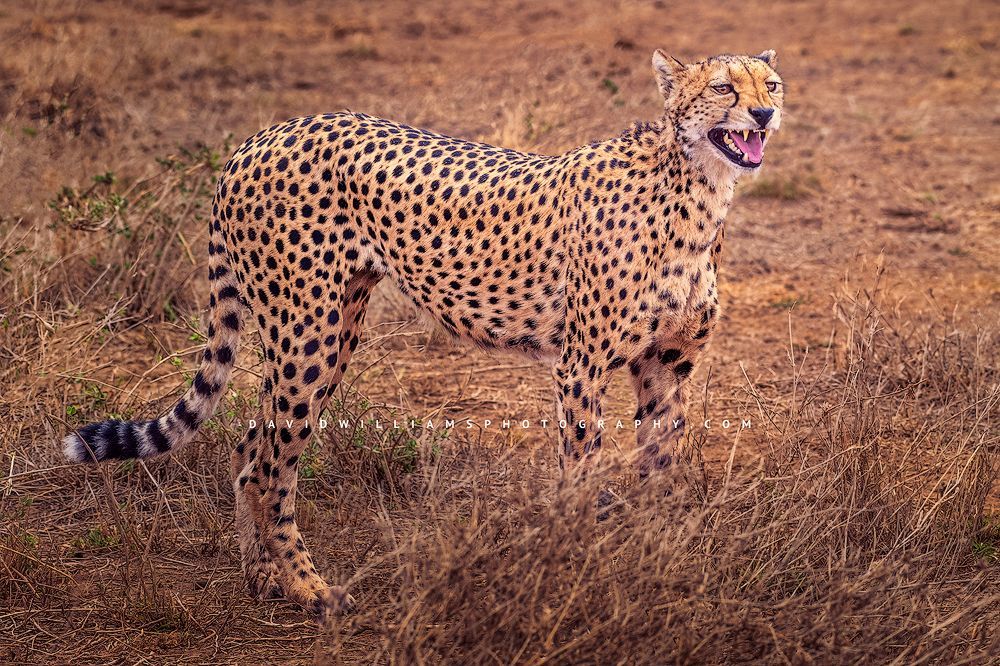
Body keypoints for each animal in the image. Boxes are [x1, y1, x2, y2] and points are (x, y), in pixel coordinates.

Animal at [63, 50, 784, 619]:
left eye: (771, 84)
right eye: (725, 87)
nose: (764, 115)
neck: (696, 195)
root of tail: (262, 134)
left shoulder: (666, 365)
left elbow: (659, 469)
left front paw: (655, 560)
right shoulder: (579, 365)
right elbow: (579, 477)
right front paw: (580, 568)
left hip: (334, 328)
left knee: (250, 448)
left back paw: (261, 578)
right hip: (307, 332)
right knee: (269, 465)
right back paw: (308, 588)